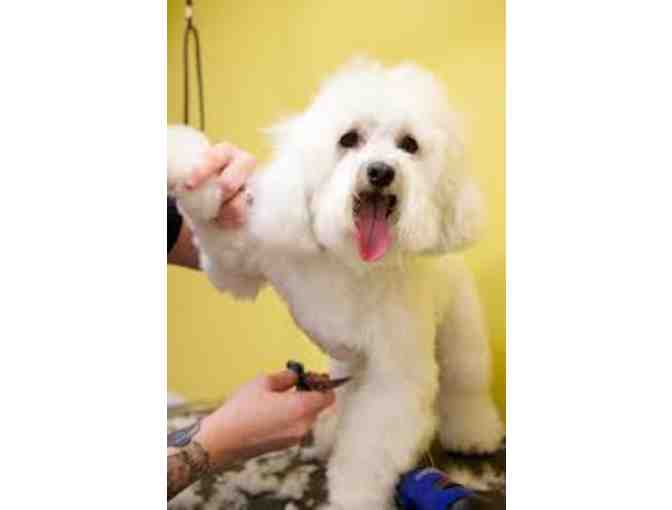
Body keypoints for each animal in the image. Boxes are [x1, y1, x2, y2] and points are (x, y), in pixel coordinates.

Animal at [168, 58, 504, 510]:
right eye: (349, 139)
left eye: (409, 144)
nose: (380, 171)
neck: (351, 262)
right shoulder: (251, 257)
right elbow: (223, 246)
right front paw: (191, 168)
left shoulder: (392, 377)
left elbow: (368, 449)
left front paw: (356, 496)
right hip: (347, 361)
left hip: (459, 334)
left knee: (465, 383)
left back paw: (474, 433)